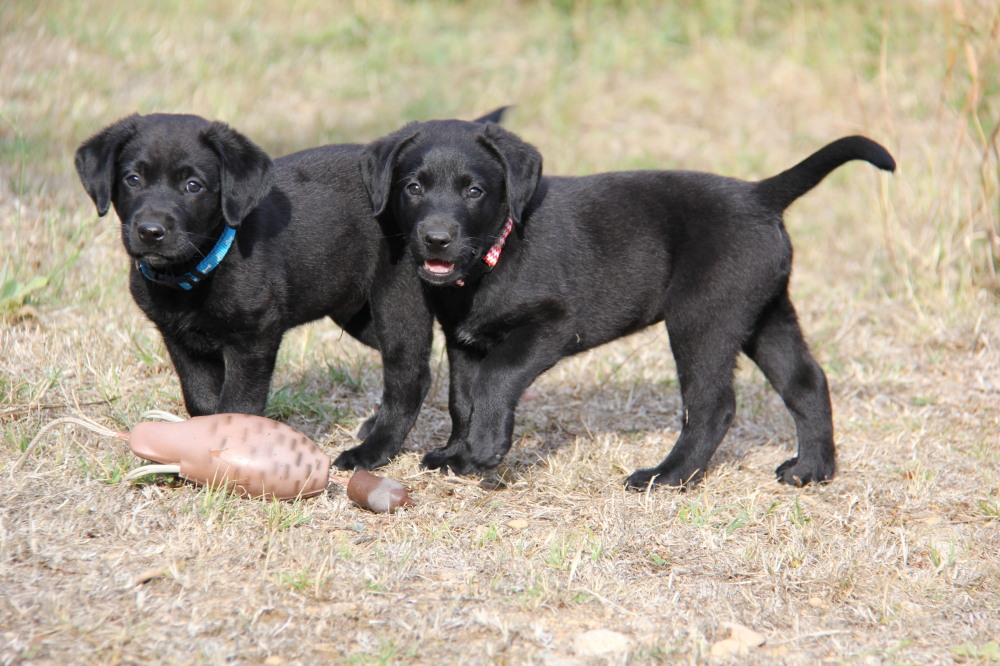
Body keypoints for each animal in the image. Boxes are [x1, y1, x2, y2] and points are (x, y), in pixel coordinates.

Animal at [73, 110, 504, 466]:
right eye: (132, 179)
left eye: (193, 186)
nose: (151, 231)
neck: (203, 265)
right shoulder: (179, 340)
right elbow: (201, 401)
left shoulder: (254, 338)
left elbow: (237, 403)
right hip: (355, 312)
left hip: (398, 303)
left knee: (408, 376)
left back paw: (372, 451)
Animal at [362, 122, 900, 488]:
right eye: (413, 187)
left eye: (474, 190)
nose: (436, 240)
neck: (494, 253)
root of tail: (758, 194)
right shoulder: (465, 341)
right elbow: (463, 399)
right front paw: (458, 455)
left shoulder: (551, 326)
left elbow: (495, 382)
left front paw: (486, 451)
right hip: (762, 313)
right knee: (806, 381)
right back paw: (813, 469)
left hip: (702, 319)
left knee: (713, 405)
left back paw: (668, 476)